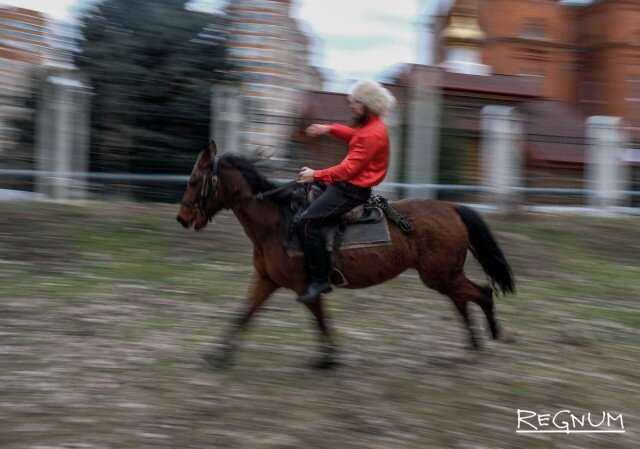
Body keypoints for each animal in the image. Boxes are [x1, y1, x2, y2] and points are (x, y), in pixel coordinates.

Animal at [175, 141, 516, 368]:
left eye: (192, 180)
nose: (182, 217)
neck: (277, 222)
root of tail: (453, 208)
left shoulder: (306, 286)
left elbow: (321, 321)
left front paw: (330, 358)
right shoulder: (266, 280)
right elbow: (244, 313)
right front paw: (218, 354)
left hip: (441, 275)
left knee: (481, 293)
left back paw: (493, 334)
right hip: (444, 276)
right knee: (464, 299)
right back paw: (474, 343)